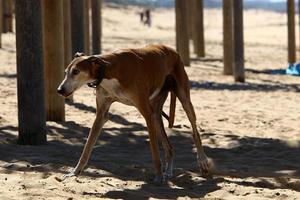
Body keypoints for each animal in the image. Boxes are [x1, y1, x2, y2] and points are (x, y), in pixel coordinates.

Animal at [57, 44, 210, 184]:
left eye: (76, 71)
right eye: (65, 72)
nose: (60, 90)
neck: (108, 71)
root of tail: (172, 50)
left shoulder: (146, 113)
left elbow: (154, 151)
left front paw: (158, 176)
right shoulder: (101, 115)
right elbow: (87, 147)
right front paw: (74, 172)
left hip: (183, 99)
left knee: (194, 130)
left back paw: (202, 161)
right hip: (156, 114)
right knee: (169, 147)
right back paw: (168, 171)